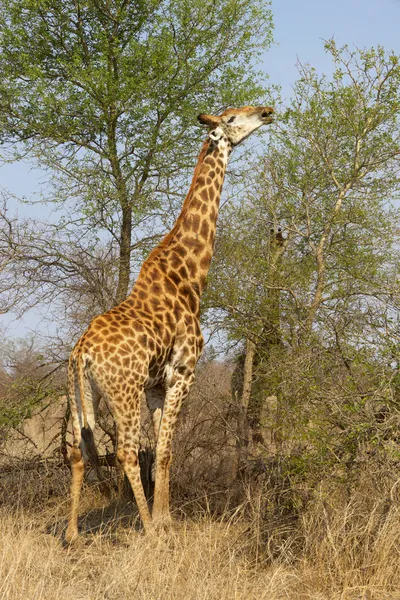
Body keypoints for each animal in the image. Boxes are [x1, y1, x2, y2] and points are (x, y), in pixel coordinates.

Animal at [65, 105, 274, 540]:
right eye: (231, 119)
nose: (266, 111)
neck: (189, 277)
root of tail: (81, 353)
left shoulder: (156, 385)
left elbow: (162, 450)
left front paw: (166, 517)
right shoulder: (183, 371)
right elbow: (163, 448)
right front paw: (162, 524)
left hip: (82, 393)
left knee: (77, 452)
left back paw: (73, 533)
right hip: (122, 391)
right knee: (126, 450)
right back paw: (144, 528)